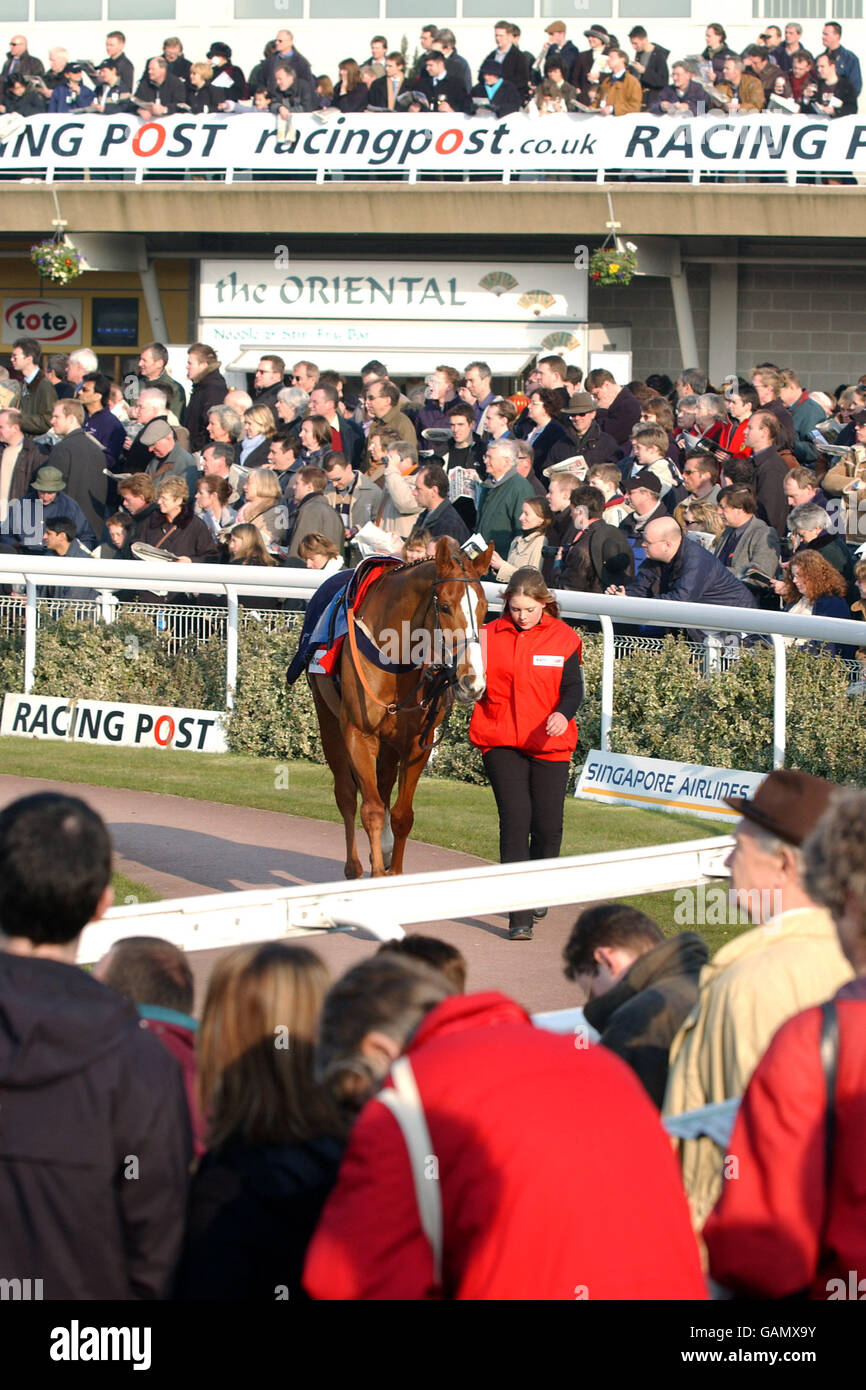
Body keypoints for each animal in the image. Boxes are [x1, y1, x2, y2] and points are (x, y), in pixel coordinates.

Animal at [309, 533, 494, 872]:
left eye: (485, 609)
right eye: (445, 607)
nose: (471, 681)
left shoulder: (416, 744)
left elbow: (401, 816)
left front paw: (392, 869)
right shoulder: (359, 734)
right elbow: (370, 810)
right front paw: (376, 872)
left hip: (390, 743)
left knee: (382, 787)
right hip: (327, 718)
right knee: (346, 794)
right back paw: (354, 867)